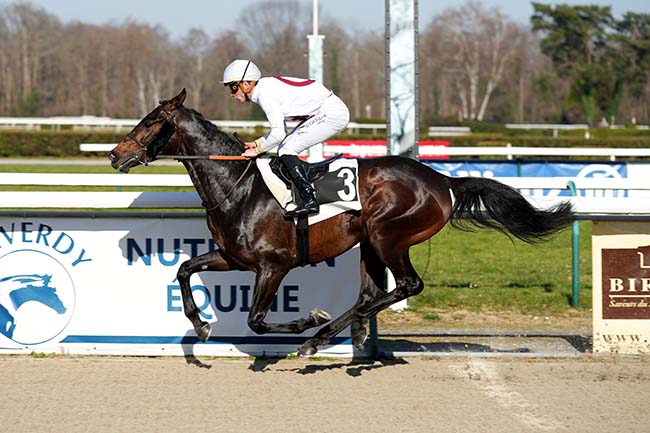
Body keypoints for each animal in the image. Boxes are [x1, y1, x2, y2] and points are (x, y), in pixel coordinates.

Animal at [108, 89, 574, 356]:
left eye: (150, 122)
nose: (114, 155)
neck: (237, 186)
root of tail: (442, 180)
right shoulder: (234, 257)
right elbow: (184, 268)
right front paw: (201, 325)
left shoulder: (273, 265)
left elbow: (257, 319)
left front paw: (305, 321)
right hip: (370, 242)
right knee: (370, 293)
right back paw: (335, 336)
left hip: (389, 236)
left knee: (404, 286)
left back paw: (325, 334)